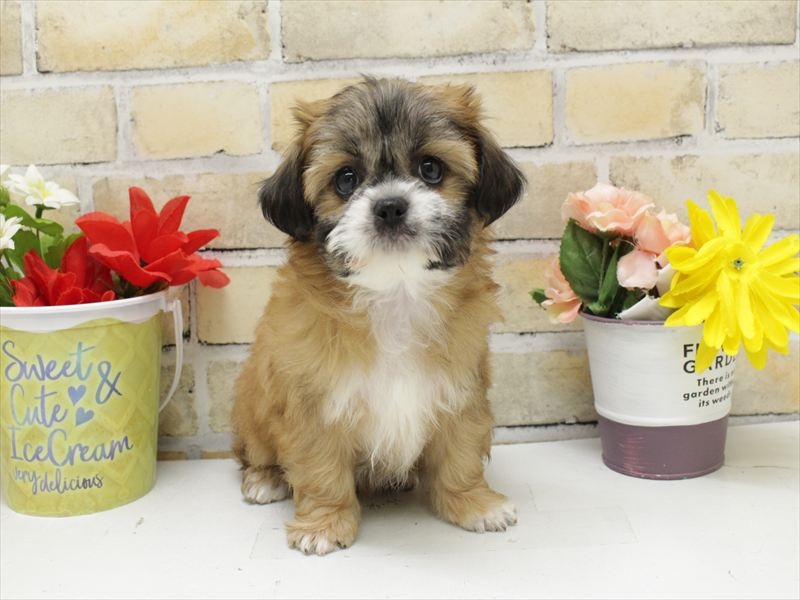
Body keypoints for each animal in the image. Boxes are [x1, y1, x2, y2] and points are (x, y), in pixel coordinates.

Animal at [232, 77, 525, 555]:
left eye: (430, 169)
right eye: (346, 178)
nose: (389, 206)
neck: (394, 292)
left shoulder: (460, 391)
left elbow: (460, 454)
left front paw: (473, 503)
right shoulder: (312, 404)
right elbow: (320, 468)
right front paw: (324, 524)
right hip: (252, 407)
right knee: (254, 452)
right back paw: (265, 479)